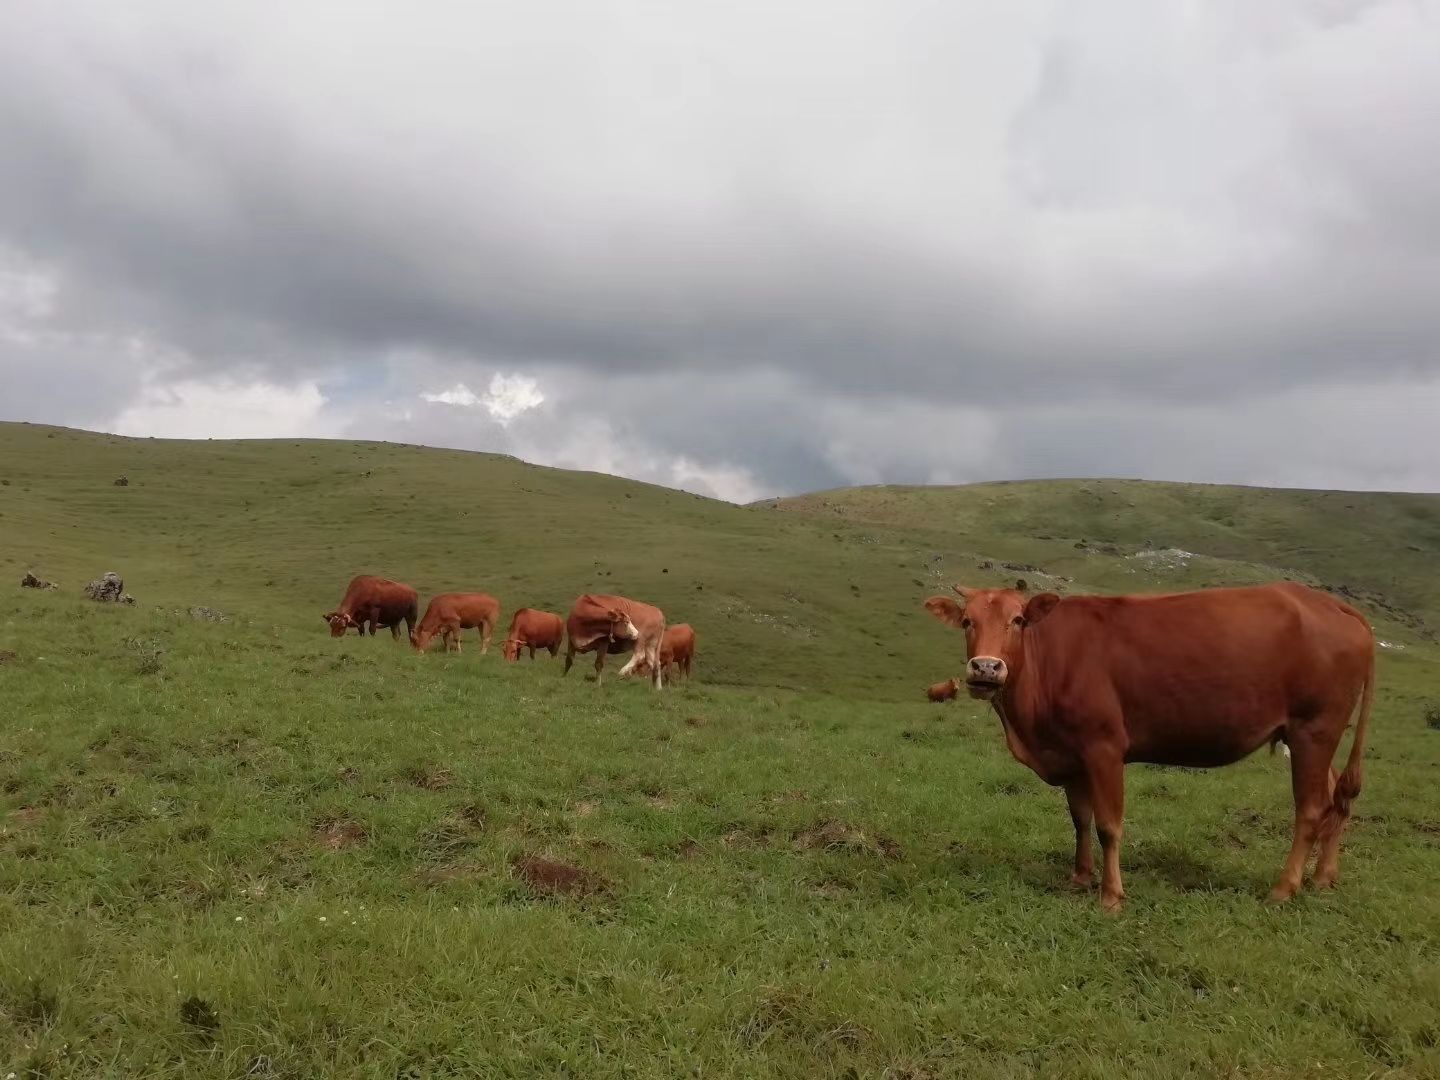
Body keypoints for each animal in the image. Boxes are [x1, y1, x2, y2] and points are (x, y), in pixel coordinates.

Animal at [927, 584, 1376, 915]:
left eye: (1017, 620)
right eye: (967, 621)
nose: (986, 668)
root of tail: (1325, 601)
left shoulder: (1104, 748)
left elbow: (1109, 826)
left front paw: (1111, 896)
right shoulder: (1072, 757)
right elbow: (1080, 819)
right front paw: (1080, 876)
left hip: (1314, 731)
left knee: (1311, 809)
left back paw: (1284, 888)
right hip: (1310, 738)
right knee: (1337, 799)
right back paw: (1323, 878)